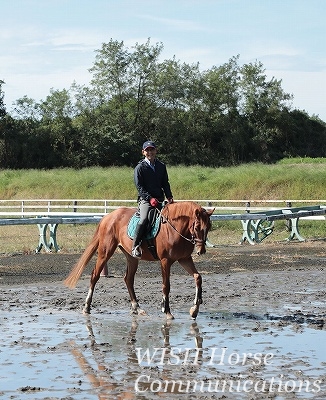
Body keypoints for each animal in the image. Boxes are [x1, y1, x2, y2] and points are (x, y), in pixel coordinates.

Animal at [65, 202, 215, 320]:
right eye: (197, 227)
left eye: (208, 227)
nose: (201, 251)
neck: (174, 228)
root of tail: (108, 217)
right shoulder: (165, 261)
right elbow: (166, 285)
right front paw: (166, 311)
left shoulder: (184, 259)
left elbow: (198, 277)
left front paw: (194, 309)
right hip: (105, 252)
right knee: (95, 275)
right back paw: (86, 307)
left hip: (131, 257)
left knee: (128, 279)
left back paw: (137, 308)